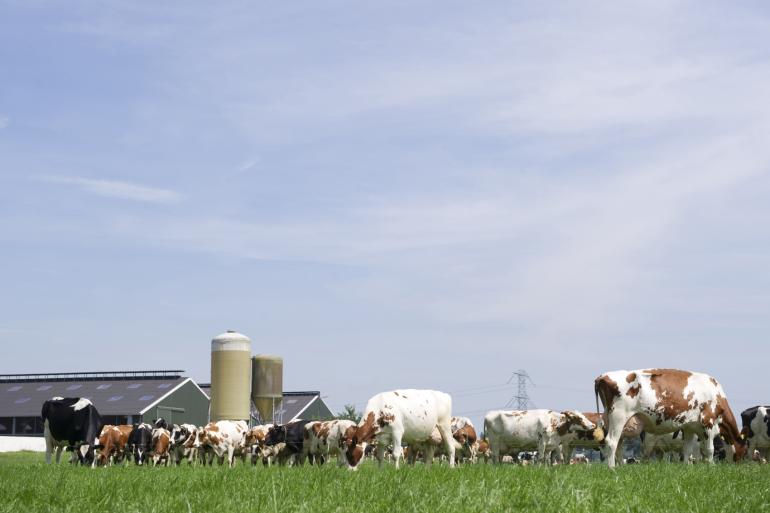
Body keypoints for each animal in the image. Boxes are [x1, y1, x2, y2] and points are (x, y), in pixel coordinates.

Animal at [592, 366, 744, 466]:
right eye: (744, 449)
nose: (739, 465)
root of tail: (603, 376)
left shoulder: (690, 427)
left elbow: (687, 450)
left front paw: (687, 468)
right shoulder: (708, 422)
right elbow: (709, 450)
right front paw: (711, 467)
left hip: (610, 418)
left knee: (619, 446)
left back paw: (621, 467)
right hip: (618, 416)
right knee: (611, 442)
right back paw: (612, 468)